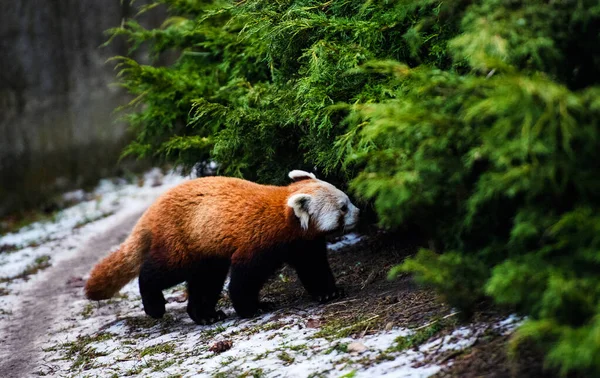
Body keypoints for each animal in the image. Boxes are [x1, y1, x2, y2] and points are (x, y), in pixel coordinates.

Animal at [82, 170, 358, 324]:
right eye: (343, 208)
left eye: (348, 201)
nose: (360, 212)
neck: (285, 217)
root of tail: (152, 211)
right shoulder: (257, 242)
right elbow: (244, 278)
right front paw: (253, 307)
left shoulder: (303, 244)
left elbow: (313, 267)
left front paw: (328, 293)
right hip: (180, 240)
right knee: (158, 272)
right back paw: (155, 306)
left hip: (206, 250)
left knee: (205, 281)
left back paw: (205, 315)